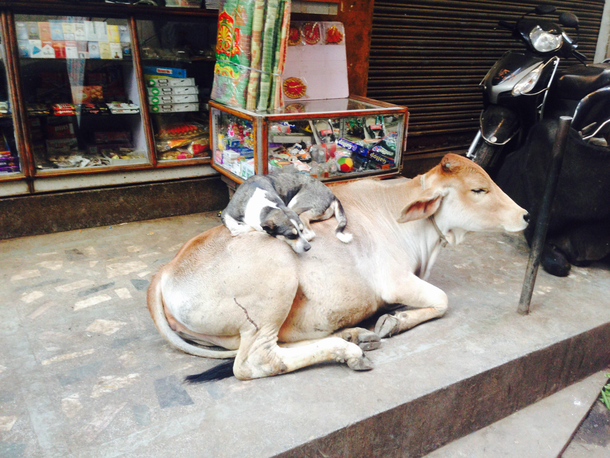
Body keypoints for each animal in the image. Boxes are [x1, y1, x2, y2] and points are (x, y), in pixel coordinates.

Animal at [220, 173, 352, 254]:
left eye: (300, 230)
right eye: (290, 235)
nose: (308, 248)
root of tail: (332, 195)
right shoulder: (226, 214)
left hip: (297, 207)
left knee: (311, 234)